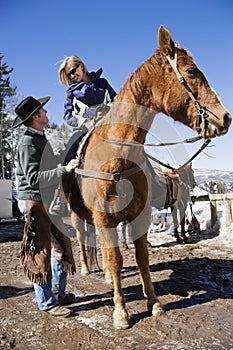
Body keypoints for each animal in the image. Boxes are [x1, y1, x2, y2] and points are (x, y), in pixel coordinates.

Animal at [64, 26, 231, 330]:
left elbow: (141, 258)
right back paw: (85, 268)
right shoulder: (104, 216)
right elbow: (116, 258)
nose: (225, 118)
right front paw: (120, 312)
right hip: (78, 214)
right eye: (191, 70)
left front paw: (153, 303)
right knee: (83, 239)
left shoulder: (138, 215)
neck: (118, 154)